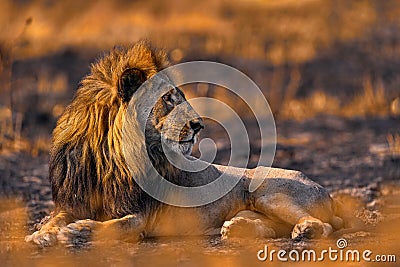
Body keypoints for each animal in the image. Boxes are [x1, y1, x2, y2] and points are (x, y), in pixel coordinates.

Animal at [25, 40, 344, 248]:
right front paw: (41, 234)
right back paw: (238, 228)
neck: (110, 159)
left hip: (267, 192)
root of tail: (326, 192)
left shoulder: (142, 216)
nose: (199, 125)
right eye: (168, 99)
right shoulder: (72, 203)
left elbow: (117, 226)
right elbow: (53, 219)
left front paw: (77, 231)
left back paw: (304, 230)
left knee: (324, 225)